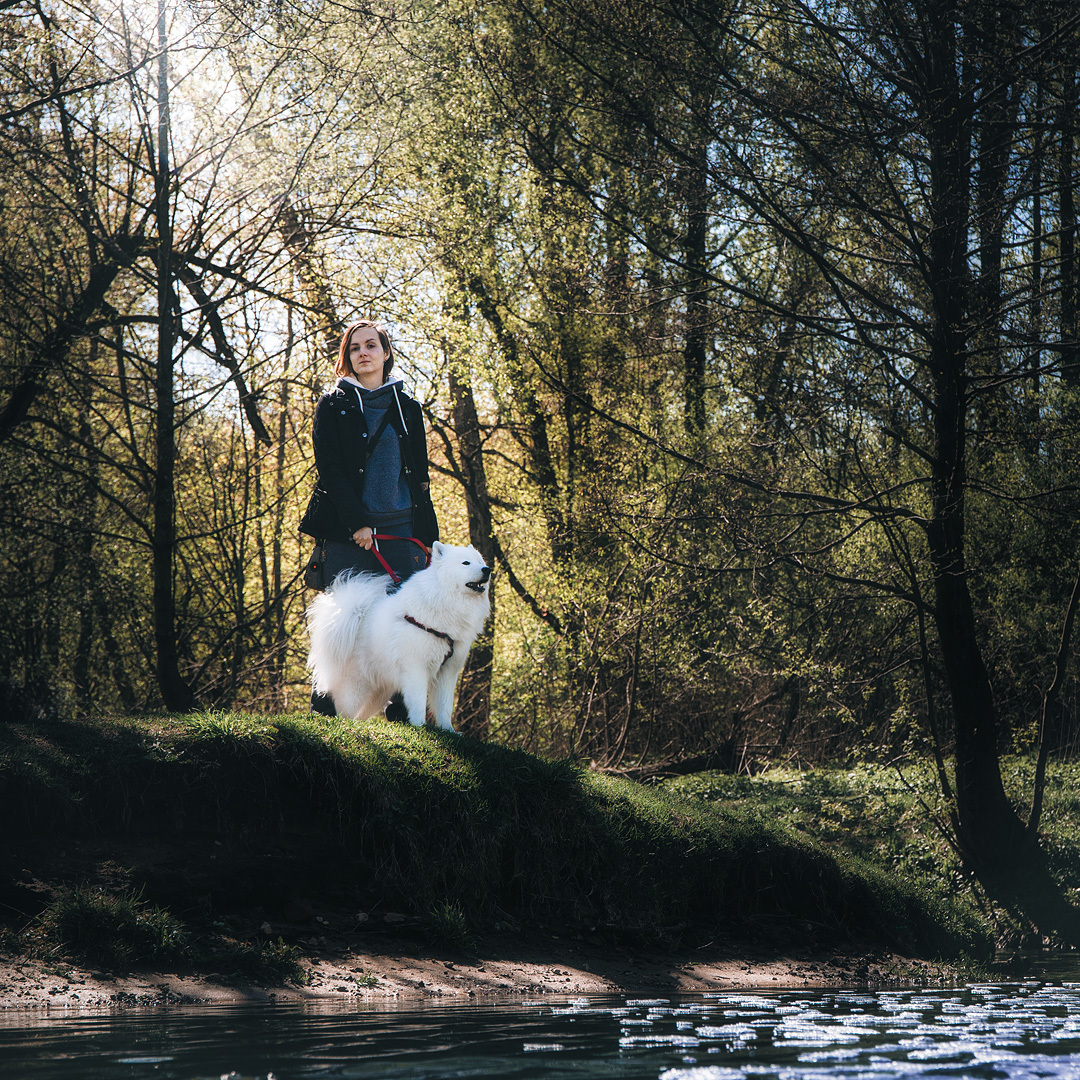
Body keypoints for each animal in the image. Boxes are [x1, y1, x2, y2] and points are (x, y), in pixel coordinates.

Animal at [304, 540, 490, 734]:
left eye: (479, 562)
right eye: (466, 563)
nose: (487, 569)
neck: (444, 599)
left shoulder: (448, 671)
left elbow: (445, 706)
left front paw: (449, 731)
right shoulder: (416, 669)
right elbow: (418, 702)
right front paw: (420, 726)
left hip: (377, 692)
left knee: (359, 714)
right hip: (355, 687)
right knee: (344, 710)